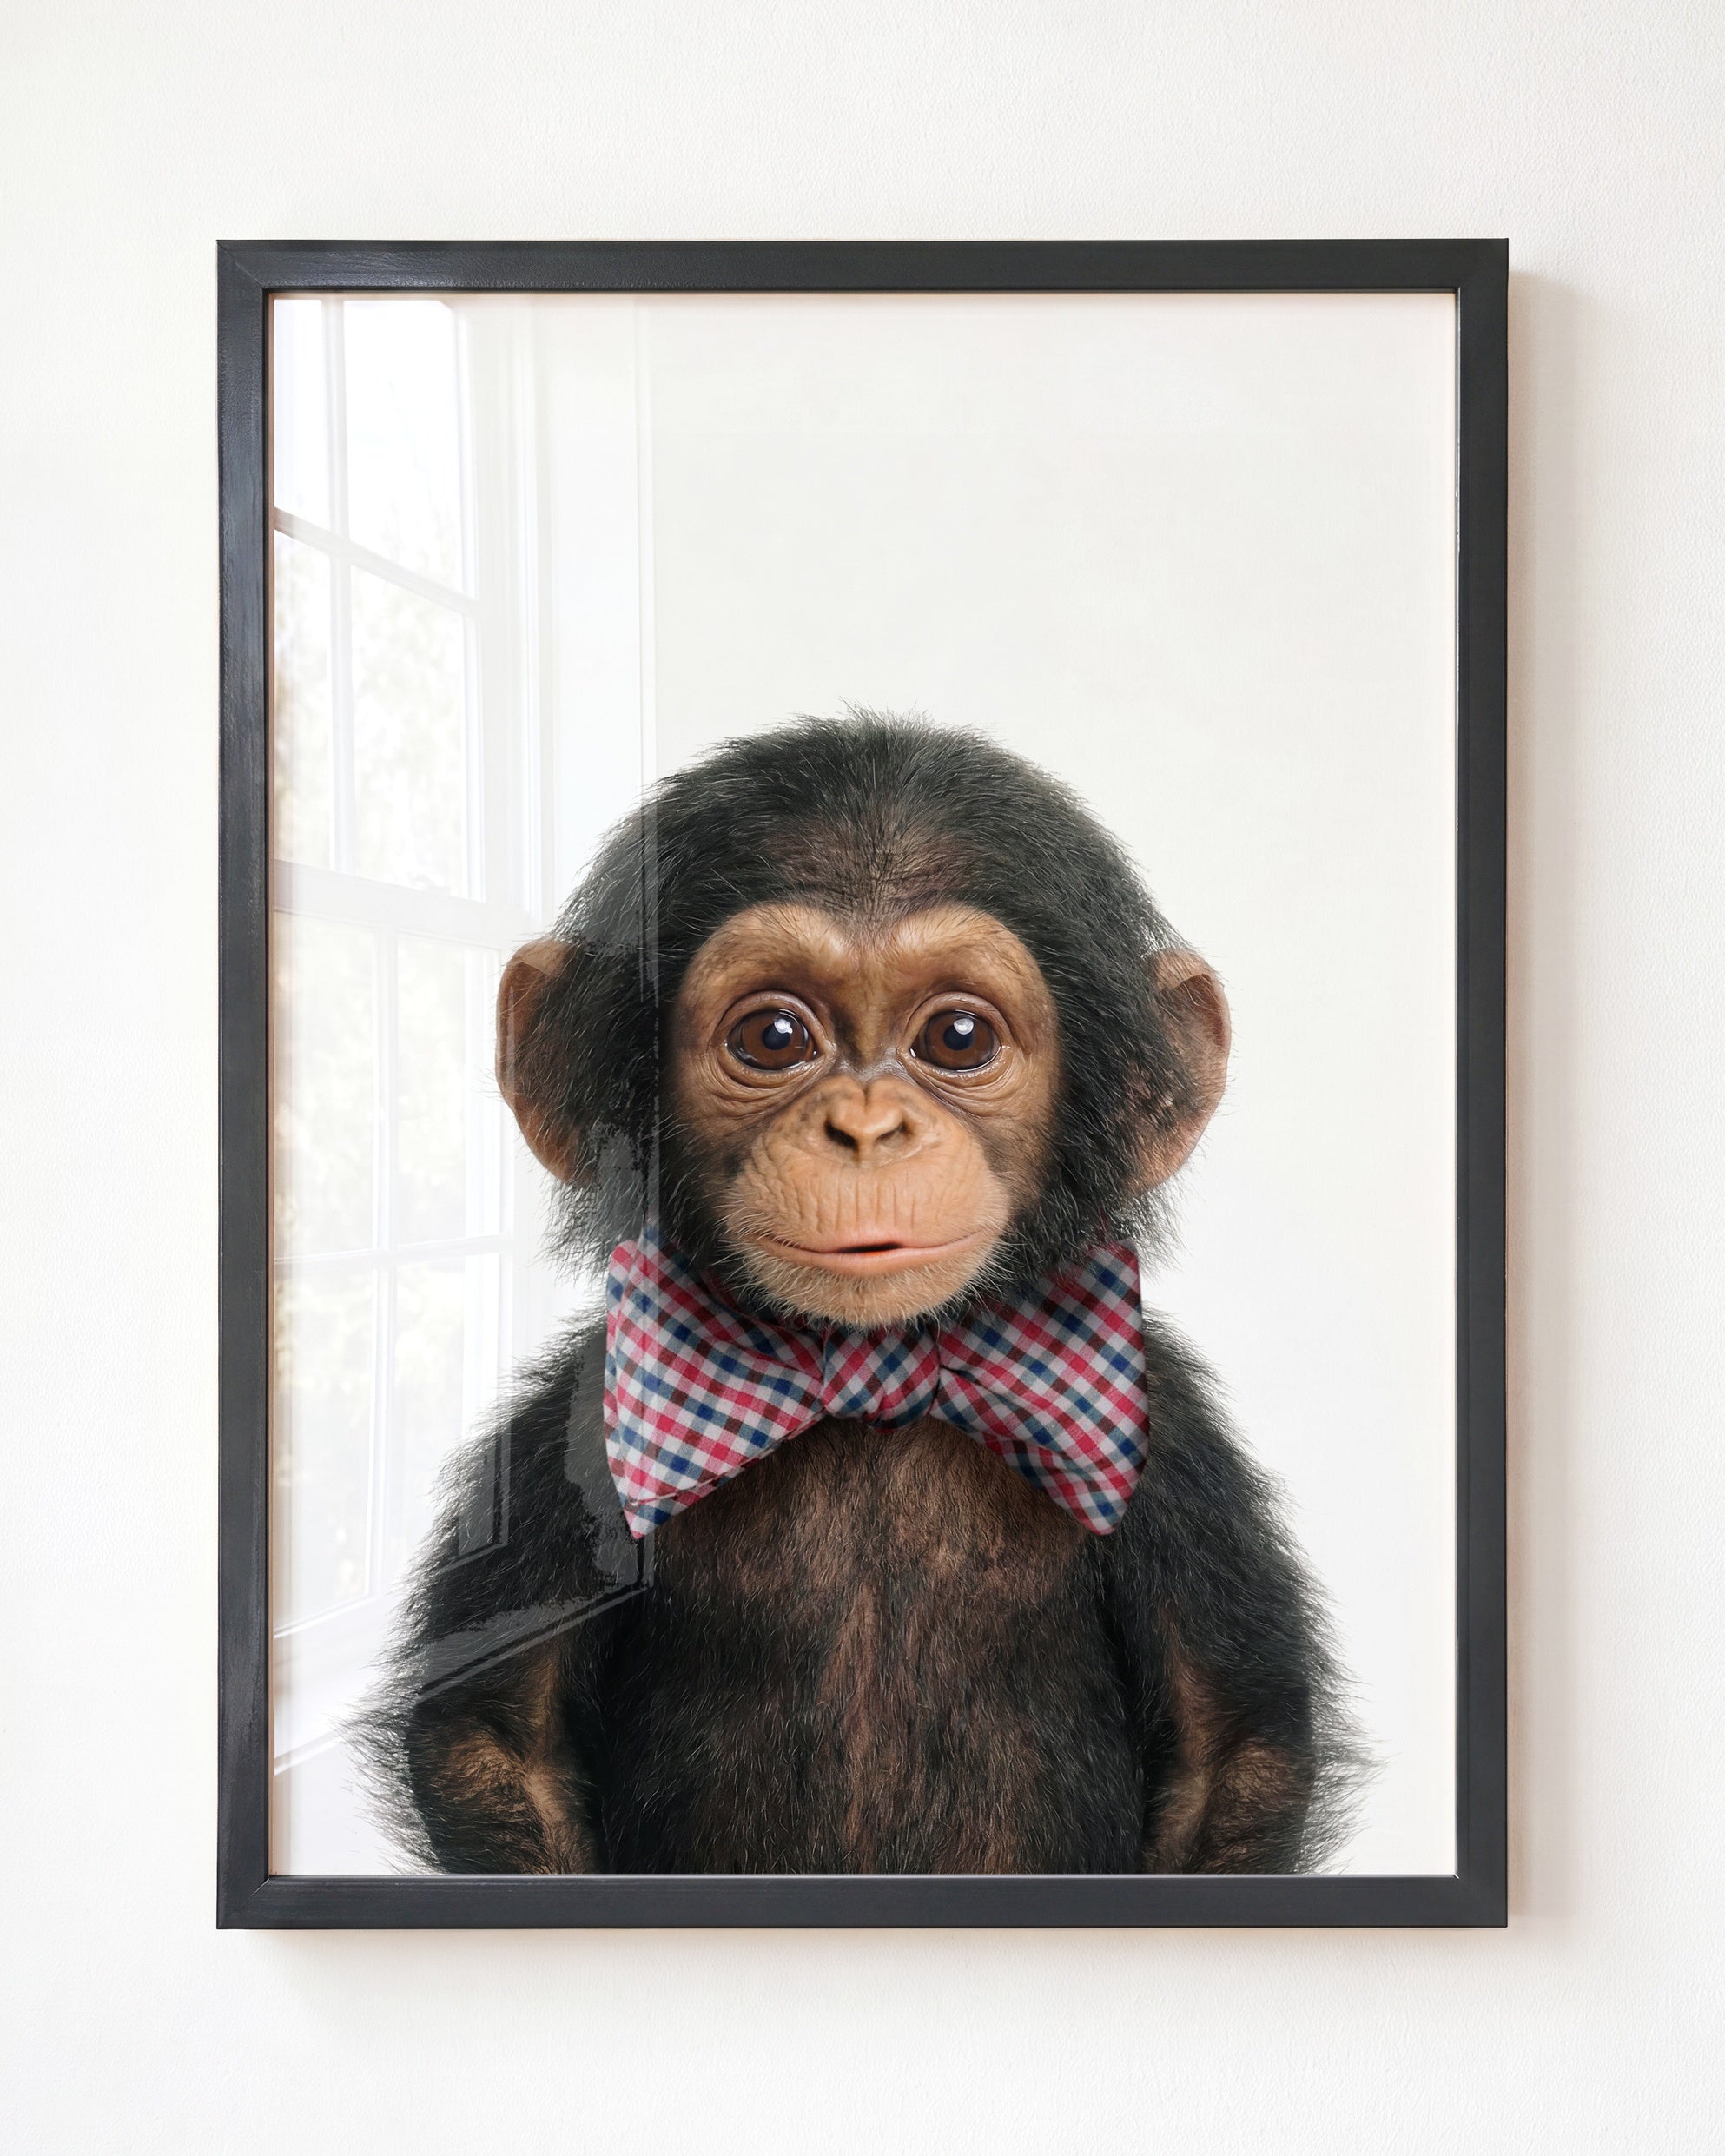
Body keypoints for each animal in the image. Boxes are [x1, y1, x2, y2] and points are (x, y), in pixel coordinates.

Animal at [359, 713, 1362, 1875]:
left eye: (958, 1038)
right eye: (773, 1037)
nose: (868, 1127)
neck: (872, 1373)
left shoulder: (1176, 1449)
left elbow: (1229, 1747)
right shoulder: (573, 1425)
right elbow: (495, 1735)